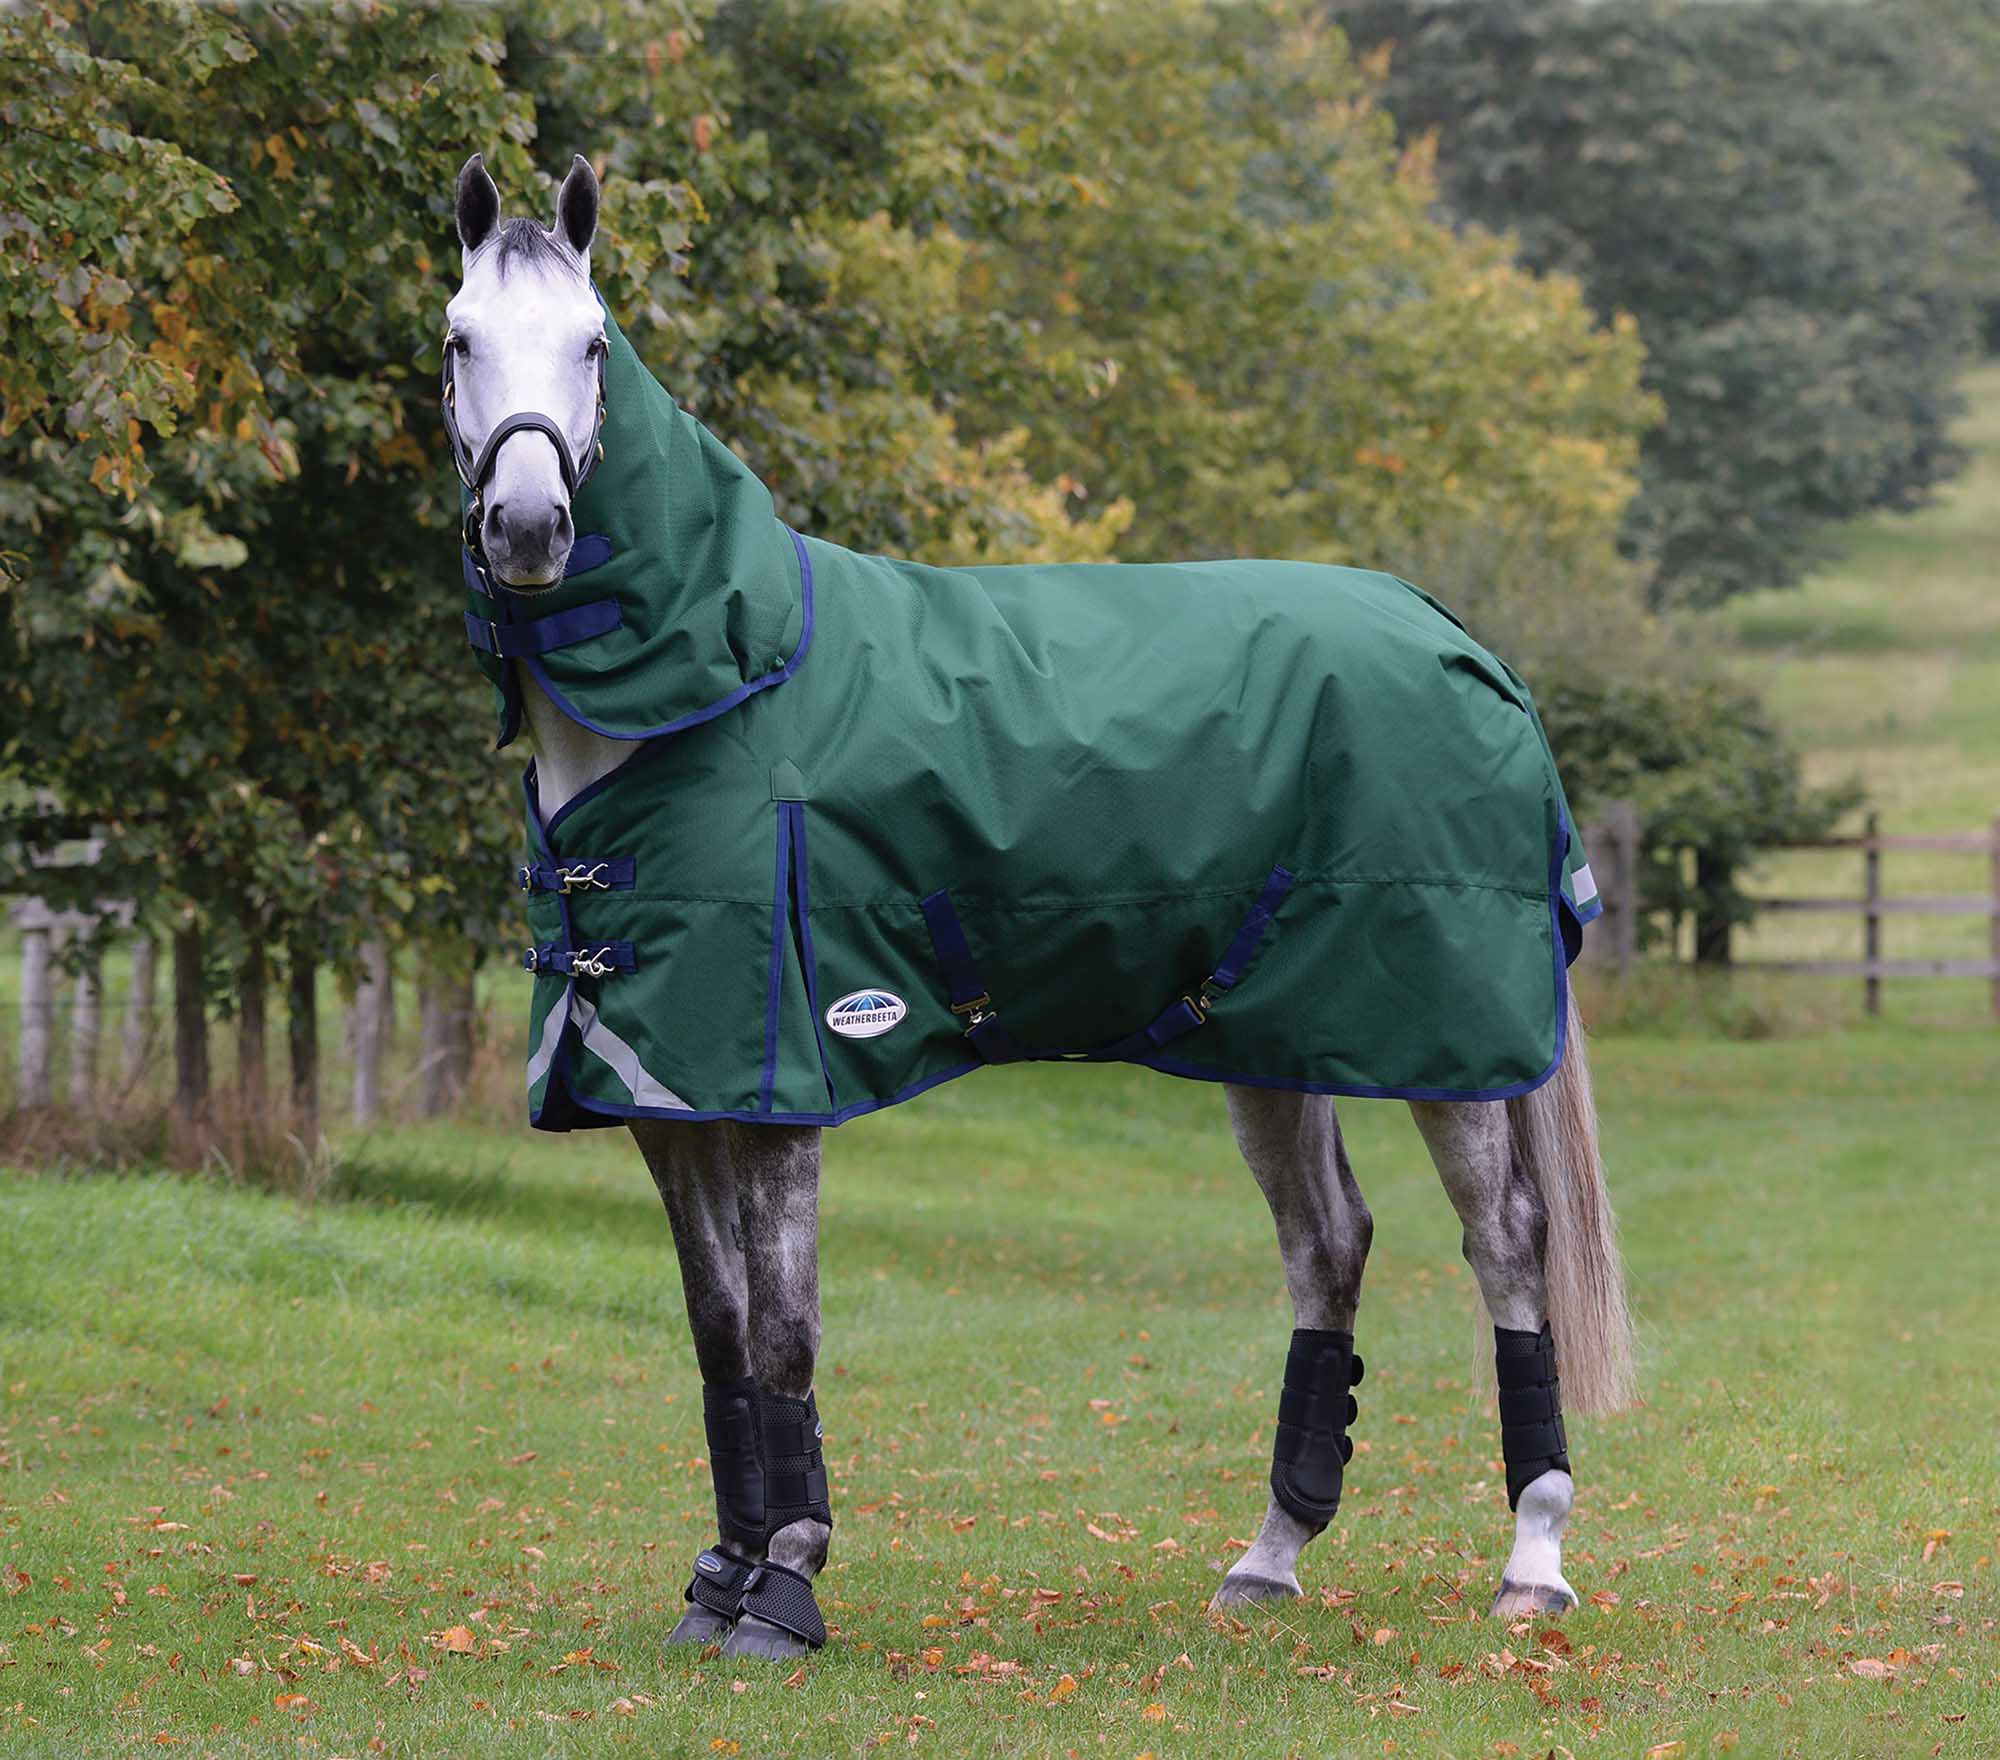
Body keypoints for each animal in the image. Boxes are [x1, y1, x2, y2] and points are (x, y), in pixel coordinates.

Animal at [441, 153, 1634, 1664]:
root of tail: (1457, 635)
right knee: (1327, 1244)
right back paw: (1269, 1557)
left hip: (1446, 1042)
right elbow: (718, 1337)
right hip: (1267, 1037)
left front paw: (785, 1588)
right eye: (457, 340)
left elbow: (782, 1333)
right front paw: (717, 1583)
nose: (530, 528)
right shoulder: (666, 1090)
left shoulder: (778, 1085)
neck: (718, 693)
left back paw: (1532, 1560)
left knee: (1505, 1247)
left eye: (593, 343)